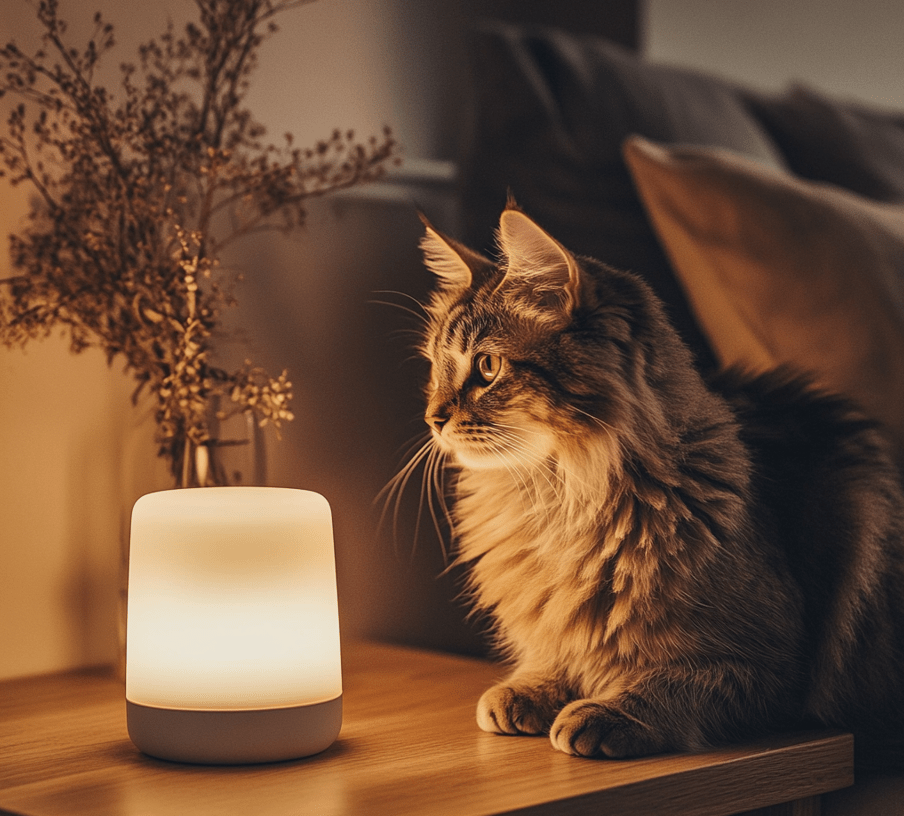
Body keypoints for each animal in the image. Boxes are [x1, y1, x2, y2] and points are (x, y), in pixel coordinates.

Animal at [416, 202, 904, 764]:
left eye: (488, 367)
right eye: (434, 368)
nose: (432, 418)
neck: (558, 501)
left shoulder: (774, 668)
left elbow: (671, 681)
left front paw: (606, 712)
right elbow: (555, 655)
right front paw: (531, 688)